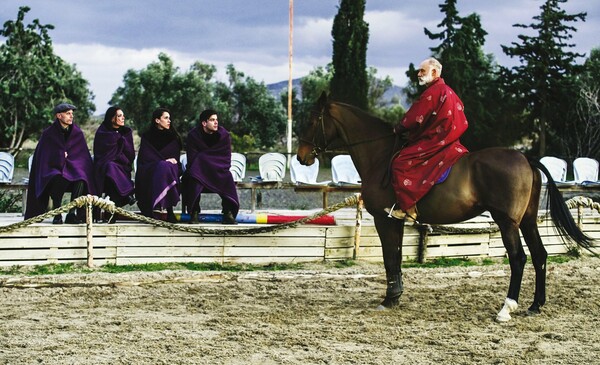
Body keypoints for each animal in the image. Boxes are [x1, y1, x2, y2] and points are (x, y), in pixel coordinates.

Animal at [292, 93, 592, 322]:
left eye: (311, 121)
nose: (301, 156)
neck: (380, 154)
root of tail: (525, 157)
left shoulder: (383, 219)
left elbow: (389, 257)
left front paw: (389, 299)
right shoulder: (395, 220)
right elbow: (396, 258)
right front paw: (395, 296)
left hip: (507, 222)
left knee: (518, 259)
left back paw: (506, 309)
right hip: (527, 221)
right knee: (540, 255)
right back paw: (535, 305)